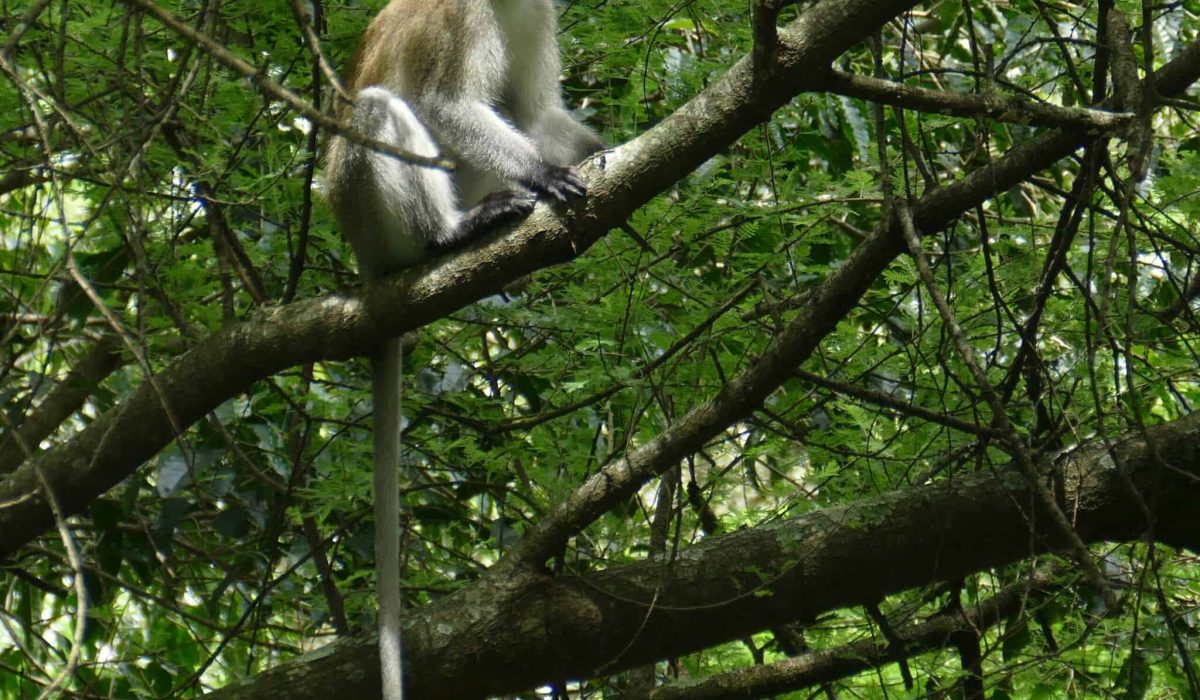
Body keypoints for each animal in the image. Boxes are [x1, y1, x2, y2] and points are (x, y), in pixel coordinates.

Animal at [323, 2, 602, 698]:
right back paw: (449, 235)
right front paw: (545, 172)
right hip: (365, 206)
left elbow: (535, 113)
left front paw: (598, 152)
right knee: (380, 110)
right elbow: (445, 105)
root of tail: (364, 260)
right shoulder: (463, 16)